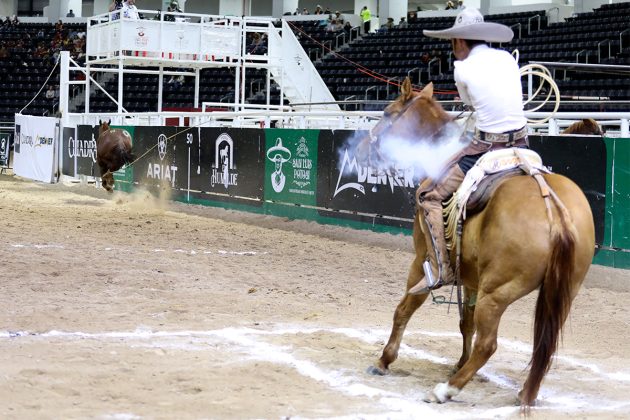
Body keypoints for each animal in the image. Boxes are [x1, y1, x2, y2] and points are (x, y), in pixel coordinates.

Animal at [366, 78, 596, 406]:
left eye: (387, 113)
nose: (370, 143)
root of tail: (553, 208)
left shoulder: (422, 260)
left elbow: (406, 307)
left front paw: (384, 360)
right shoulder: (471, 275)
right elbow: (466, 323)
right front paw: (458, 361)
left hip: (497, 292)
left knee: (488, 344)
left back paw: (446, 390)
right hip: (563, 291)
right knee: (542, 345)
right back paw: (523, 393)